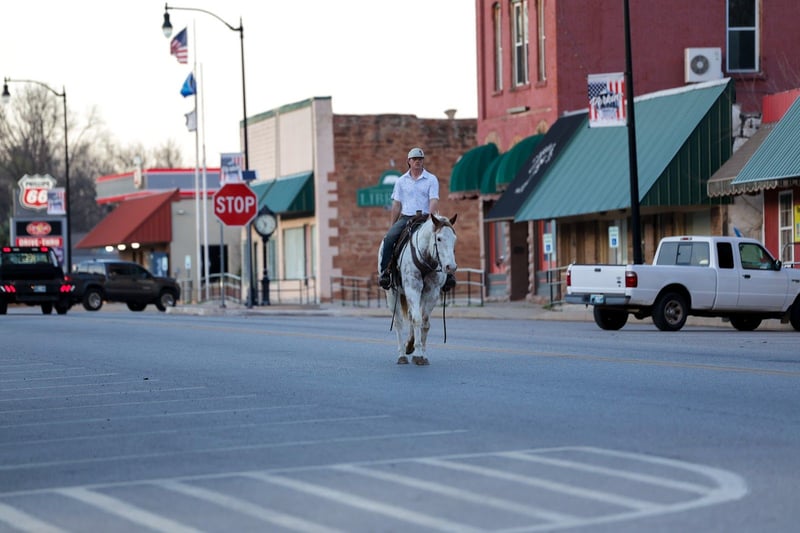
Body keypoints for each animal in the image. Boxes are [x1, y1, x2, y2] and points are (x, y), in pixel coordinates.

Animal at [378, 213, 458, 365]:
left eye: (454, 239)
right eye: (439, 238)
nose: (451, 267)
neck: (425, 258)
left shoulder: (432, 292)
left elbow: (424, 322)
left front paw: (422, 354)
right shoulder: (412, 288)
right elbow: (417, 320)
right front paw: (418, 353)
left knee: (410, 315)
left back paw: (409, 345)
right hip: (391, 293)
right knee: (398, 322)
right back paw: (402, 355)